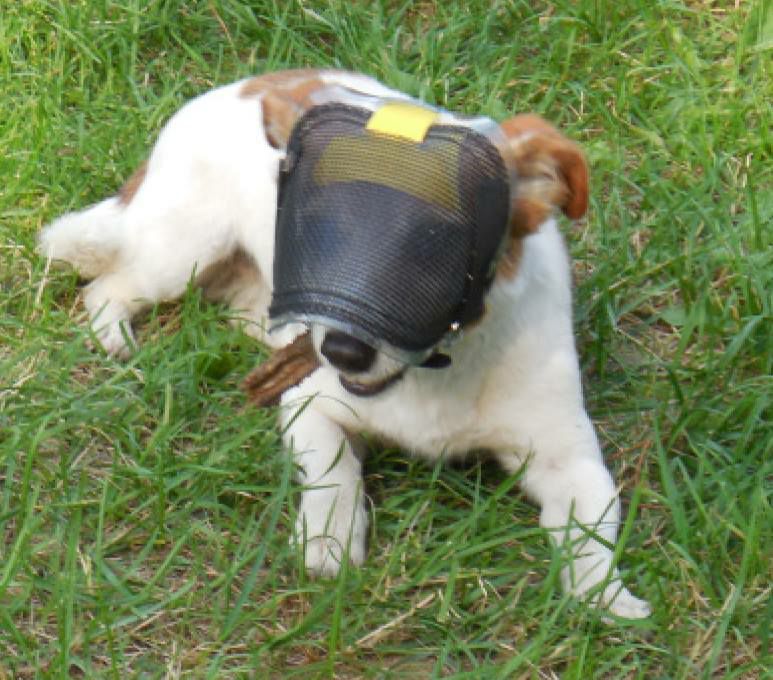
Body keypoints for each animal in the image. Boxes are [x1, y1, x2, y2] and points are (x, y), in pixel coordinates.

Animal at [39, 69, 650, 619]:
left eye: (432, 246)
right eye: (320, 233)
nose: (341, 351)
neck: (431, 377)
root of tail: (240, 85)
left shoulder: (569, 457)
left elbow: (591, 534)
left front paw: (606, 598)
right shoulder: (308, 404)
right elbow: (336, 474)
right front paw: (329, 543)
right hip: (181, 254)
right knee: (106, 287)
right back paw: (115, 336)